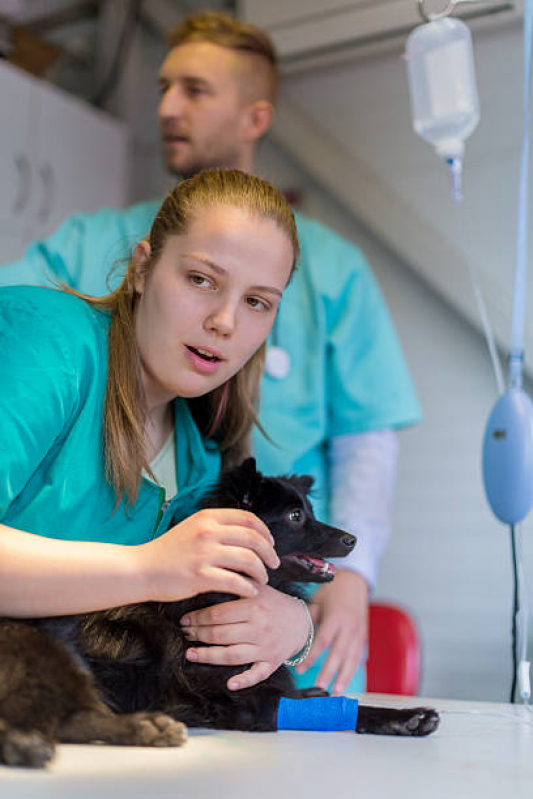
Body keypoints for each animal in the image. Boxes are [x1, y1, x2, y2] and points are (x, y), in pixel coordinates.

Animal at [0, 460, 438, 764]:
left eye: (311, 512)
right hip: (53, 652)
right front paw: (407, 715)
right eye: (296, 517)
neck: (222, 593)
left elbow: (301, 693)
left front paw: (316, 690)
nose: (352, 539)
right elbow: (346, 709)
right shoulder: (247, 703)